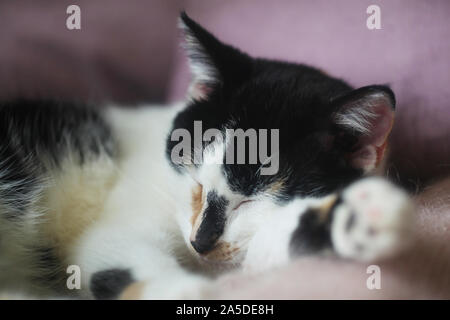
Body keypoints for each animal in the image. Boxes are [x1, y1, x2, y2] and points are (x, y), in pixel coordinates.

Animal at [0, 11, 414, 298]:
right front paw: (185, 290)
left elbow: (264, 250)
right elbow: (111, 247)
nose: (200, 242)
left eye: (252, 199)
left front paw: (351, 219)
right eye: (195, 180)